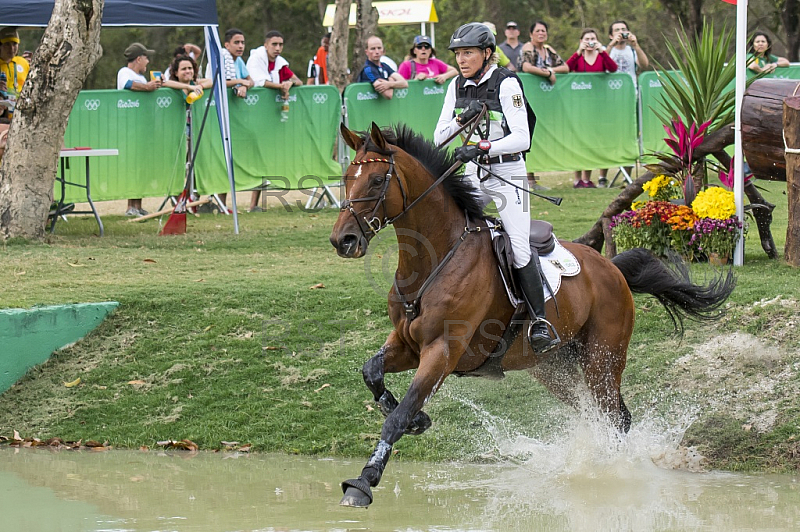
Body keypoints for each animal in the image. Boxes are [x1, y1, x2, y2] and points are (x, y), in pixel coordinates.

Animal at [328, 121, 736, 508]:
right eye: (347, 179)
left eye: (377, 180)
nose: (342, 240)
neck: (435, 258)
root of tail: (612, 267)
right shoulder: (407, 344)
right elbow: (372, 372)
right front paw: (418, 419)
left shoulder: (443, 352)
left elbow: (396, 418)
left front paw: (364, 482)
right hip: (555, 369)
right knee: (597, 413)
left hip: (602, 360)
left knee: (615, 415)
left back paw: (615, 471)